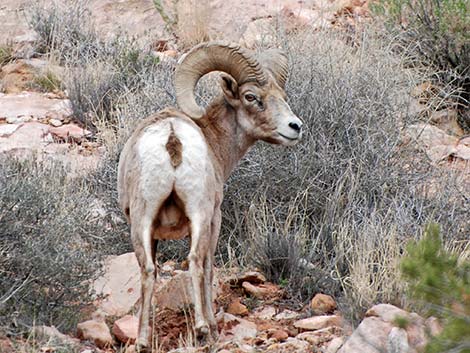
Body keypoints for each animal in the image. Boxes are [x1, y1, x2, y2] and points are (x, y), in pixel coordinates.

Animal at [116, 41, 302, 350]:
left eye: (281, 96)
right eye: (251, 96)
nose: (295, 127)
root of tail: (172, 138)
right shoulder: (216, 218)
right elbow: (209, 267)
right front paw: (212, 326)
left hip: (142, 219)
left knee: (149, 270)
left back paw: (142, 340)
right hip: (200, 214)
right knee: (195, 261)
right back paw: (203, 328)